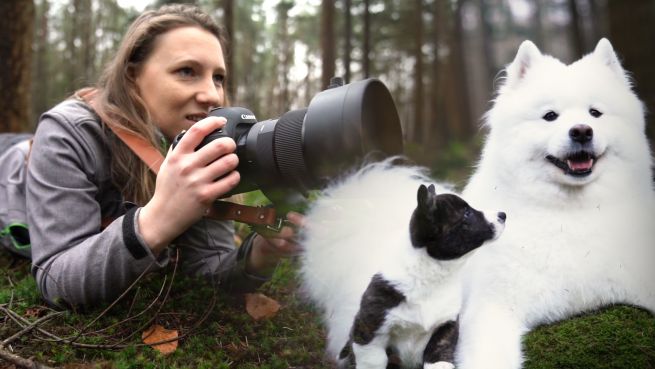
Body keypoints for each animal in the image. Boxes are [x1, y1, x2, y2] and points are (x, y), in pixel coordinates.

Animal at [338, 184, 508, 368]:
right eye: (466, 213)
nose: (503, 215)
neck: (431, 277)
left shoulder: (446, 327)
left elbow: (438, 356)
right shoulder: (370, 331)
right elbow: (373, 360)